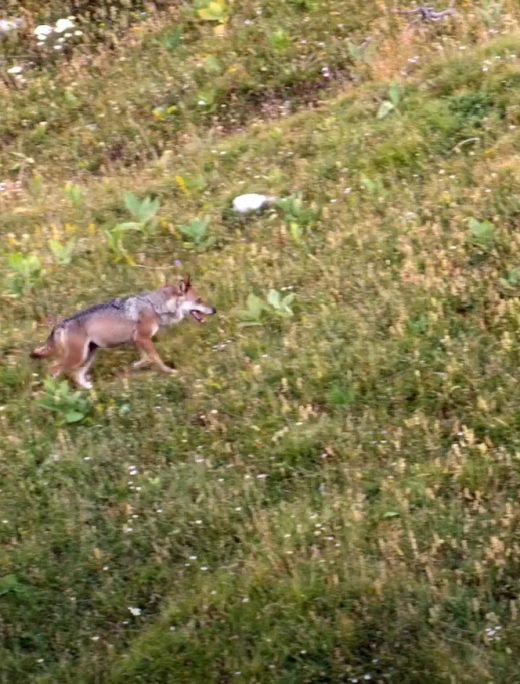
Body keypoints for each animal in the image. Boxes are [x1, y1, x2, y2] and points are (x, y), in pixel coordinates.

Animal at [30, 274, 215, 390]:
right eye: (199, 300)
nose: (215, 310)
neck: (155, 306)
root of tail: (61, 324)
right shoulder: (143, 338)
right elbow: (156, 358)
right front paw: (170, 371)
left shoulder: (137, 339)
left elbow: (145, 357)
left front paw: (138, 365)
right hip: (78, 357)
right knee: (54, 369)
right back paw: (54, 394)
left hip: (88, 356)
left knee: (77, 375)